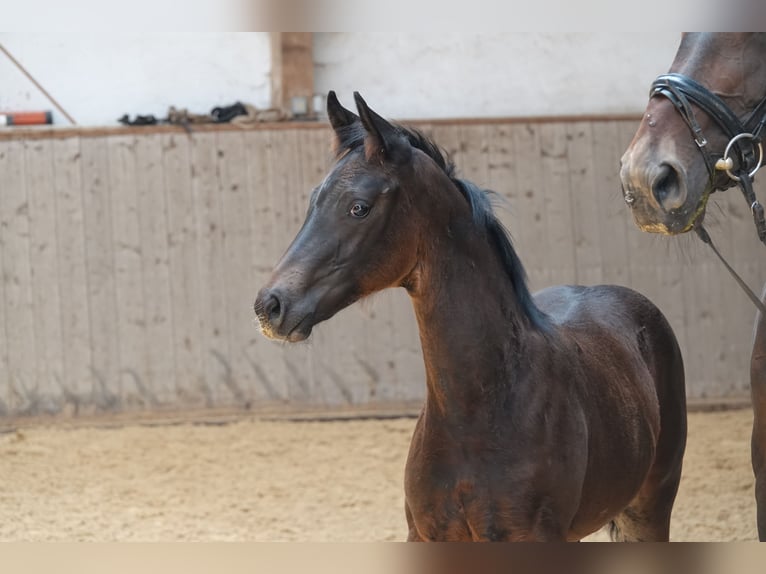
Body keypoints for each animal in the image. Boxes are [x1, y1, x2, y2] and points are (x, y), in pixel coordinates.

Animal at [258, 92, 688, 544]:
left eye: (359, 207)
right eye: (313, 201)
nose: (271, 305)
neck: (474, 415)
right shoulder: (425, 535)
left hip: (650, 509)